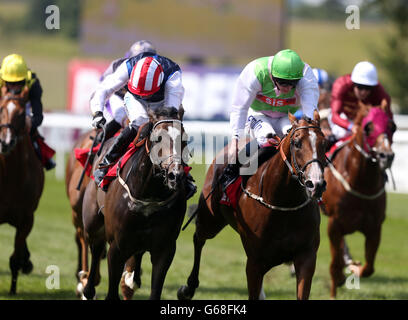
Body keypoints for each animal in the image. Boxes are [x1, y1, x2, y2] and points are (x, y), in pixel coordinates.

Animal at [81, 107, 190, 300]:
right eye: (158, 138)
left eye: (184, 139)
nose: (175, 176)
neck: (149, 196)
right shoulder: (116, 247)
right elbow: (111, 293)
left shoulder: (165, 248)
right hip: (93, 223)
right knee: (96, 249)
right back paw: (88, 290)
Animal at [178, 110, 328, 300]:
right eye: (297, 143)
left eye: (325, 143)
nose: (316, 184)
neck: (284, 204)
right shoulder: (255, 262)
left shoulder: (306, 256)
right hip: (210, 219)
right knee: (199, 238)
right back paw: (188, 288)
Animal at [322, 105, 396, 298]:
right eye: (368, 127)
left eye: (392, 126)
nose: (386, 156)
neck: (362, 184)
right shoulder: (334, 223)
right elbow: (334, 264)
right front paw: (333, 291)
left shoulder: (375, 227)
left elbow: (369, 268)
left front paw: (355, 268)